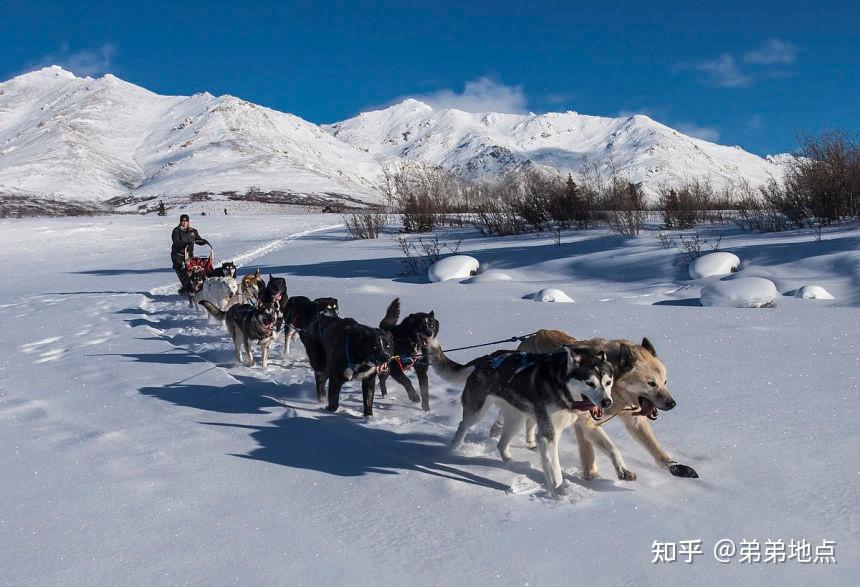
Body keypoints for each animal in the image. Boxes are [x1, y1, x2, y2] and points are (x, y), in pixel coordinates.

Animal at [430, 340, 620, 496]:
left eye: (608, 382)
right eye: (590, 383)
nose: (607, 402)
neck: (562, 387)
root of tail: (485, 359)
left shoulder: (585, 424)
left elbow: (613, 448)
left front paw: (622, 471)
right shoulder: (548, 436)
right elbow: (555, 472)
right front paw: (560, 496)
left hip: (516, 420)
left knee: (501, 444)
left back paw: (512, 463)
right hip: (477, 412)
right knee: (463, 425)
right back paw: (453, 450)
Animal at [490, 328, 700, 480]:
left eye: (665, 382)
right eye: (651, 383)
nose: (672, 404)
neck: (614, 386)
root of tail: (533, 336)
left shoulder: (633, 420)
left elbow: (655, 448)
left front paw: (674, 466)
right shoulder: (586, 422)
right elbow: (609, 448)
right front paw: (603, 473)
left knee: (530, 422)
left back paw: (531, 442)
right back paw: (497, 429)